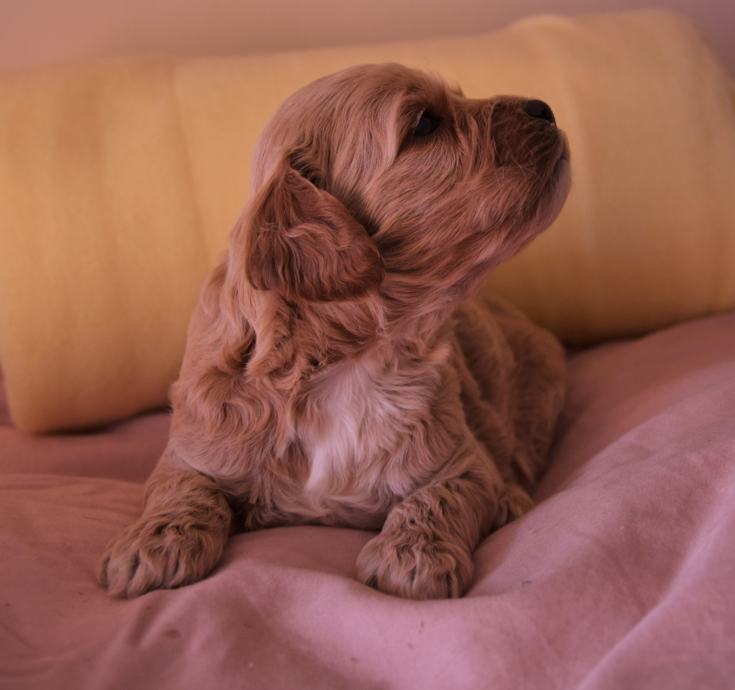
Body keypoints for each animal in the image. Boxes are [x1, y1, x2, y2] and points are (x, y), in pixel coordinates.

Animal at [99, 63, 570, 600]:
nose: (544, 108)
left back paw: (510, 498)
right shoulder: (193, 447)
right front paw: (154, 544)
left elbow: (440, 497)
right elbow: (180, 488)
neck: (339, 365)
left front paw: (412, 556)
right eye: (425, 124)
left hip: (539, 382)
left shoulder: (461, 460)